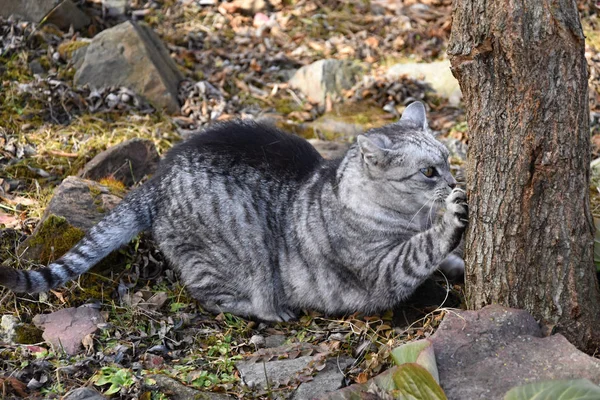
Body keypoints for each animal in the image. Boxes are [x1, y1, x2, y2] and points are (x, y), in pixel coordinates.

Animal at [0, 101, 468, 322]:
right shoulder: (382, 271)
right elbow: (421, 250)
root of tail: (159, 179)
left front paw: (456, 261)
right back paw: (269, 309)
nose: (453, 182)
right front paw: (451, 218)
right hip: (243, 249)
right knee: (211, 295)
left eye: (447, 160)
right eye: (429, 172)